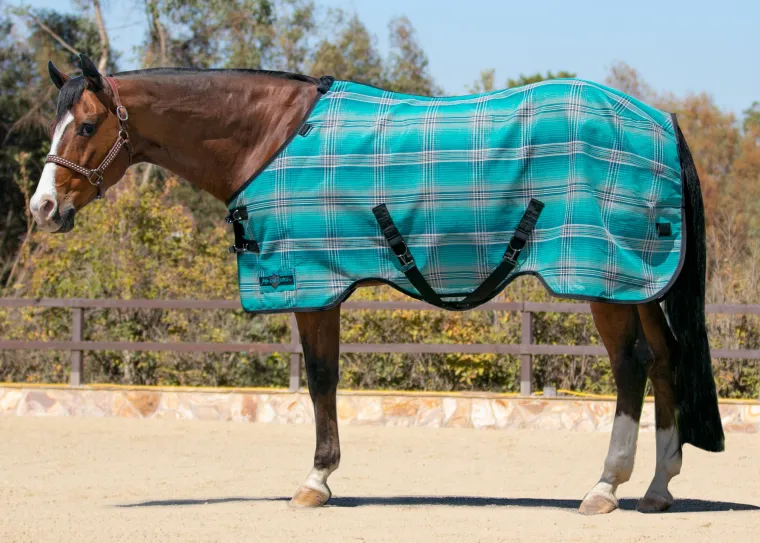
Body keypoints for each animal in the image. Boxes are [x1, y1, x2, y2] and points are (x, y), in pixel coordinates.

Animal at [29, 54, 724, 514]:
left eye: (85, 127)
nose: (41, 209)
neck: (268, 138)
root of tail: (661, 120)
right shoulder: (323, 285)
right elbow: (327, 375)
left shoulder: (309, 283)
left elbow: (320, 377)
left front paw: (315, 481)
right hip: (637, 282)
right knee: (667, 361)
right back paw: (658, 489)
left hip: (603, 280)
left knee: (632, 365)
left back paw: (605, 487)